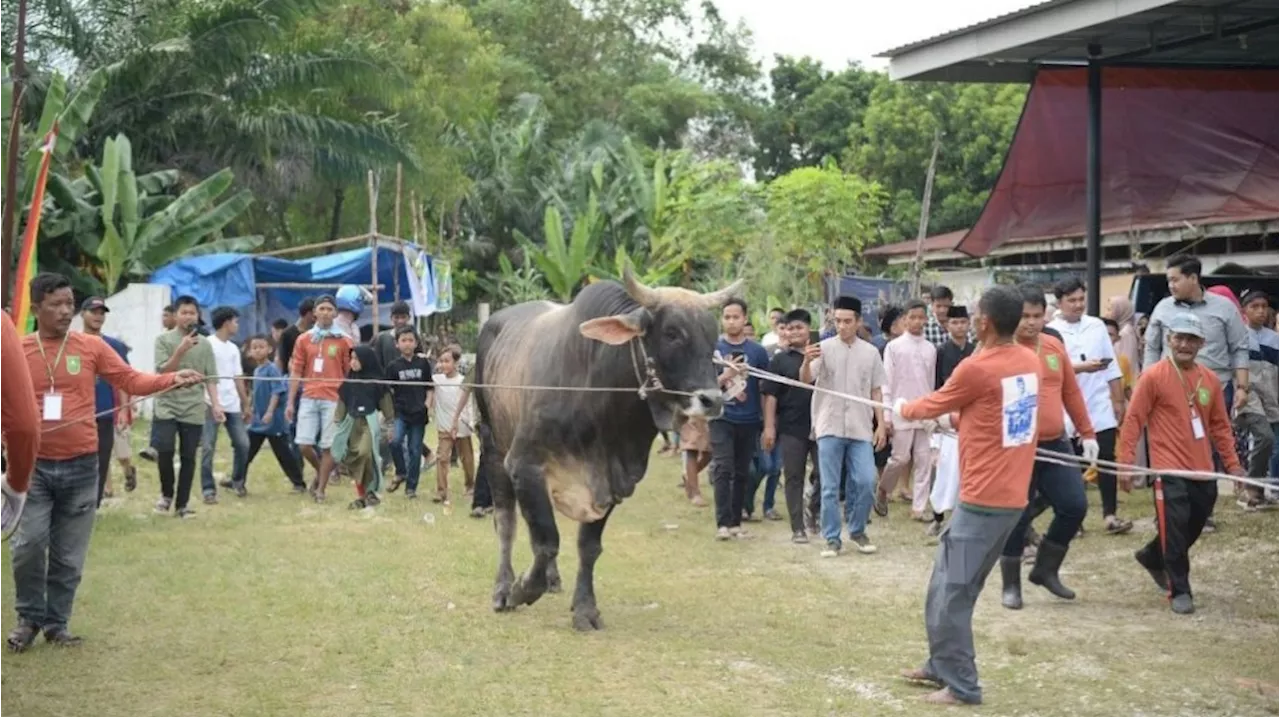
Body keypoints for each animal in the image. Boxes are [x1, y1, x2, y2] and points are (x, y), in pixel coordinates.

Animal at [473, 271, 742, 629]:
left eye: (713, 335)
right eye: (672, 333)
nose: (712, 401)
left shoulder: (615, 481)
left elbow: (587, 546)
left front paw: (585, 609)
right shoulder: (523, 465)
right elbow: (546, 540)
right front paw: (522, 590)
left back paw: (552, 579)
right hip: (492, 445)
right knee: (506, 522)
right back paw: (503, 588)